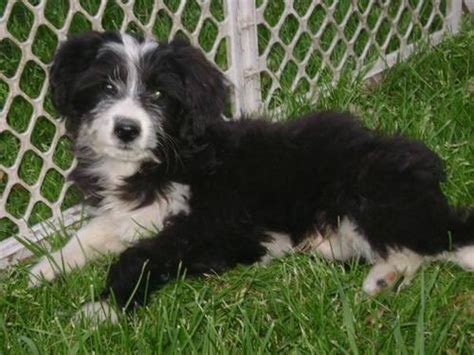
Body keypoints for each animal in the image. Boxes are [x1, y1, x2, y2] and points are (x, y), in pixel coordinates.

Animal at [30, 32, 474, 322]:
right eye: (106, 86)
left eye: (157, 95)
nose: (126, 129)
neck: (163, 157)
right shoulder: (127, 216)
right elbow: (91, 235)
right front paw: (44, 269)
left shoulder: (206, 228)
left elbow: (138, 256)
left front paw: (101, 310)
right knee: (412, 250)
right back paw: (384, 278)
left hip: (376, 199)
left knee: (449, 234)